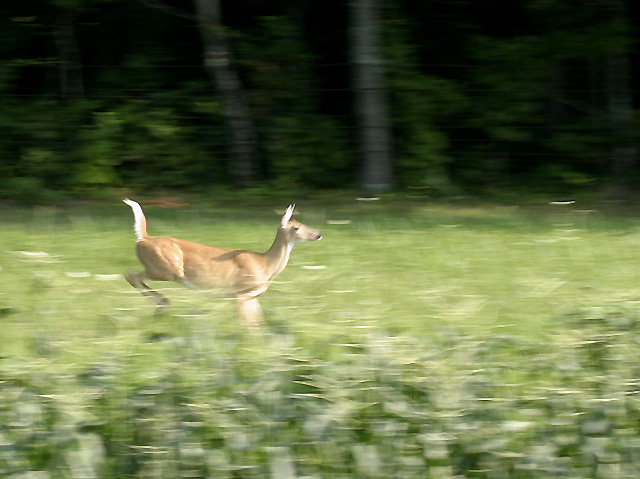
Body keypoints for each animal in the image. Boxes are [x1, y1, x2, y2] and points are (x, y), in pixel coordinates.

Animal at [122, 198, 322, 326]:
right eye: (296, 227)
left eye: (302, 223)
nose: (319, 234)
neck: (265, 264)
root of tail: (143, 239)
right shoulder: (240, 293)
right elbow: (247, 324)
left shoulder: (250, 296)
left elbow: (258, 321)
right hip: (166, 270)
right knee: (130, 275)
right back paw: (162, 305)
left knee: (132, 276)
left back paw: (161, 306)